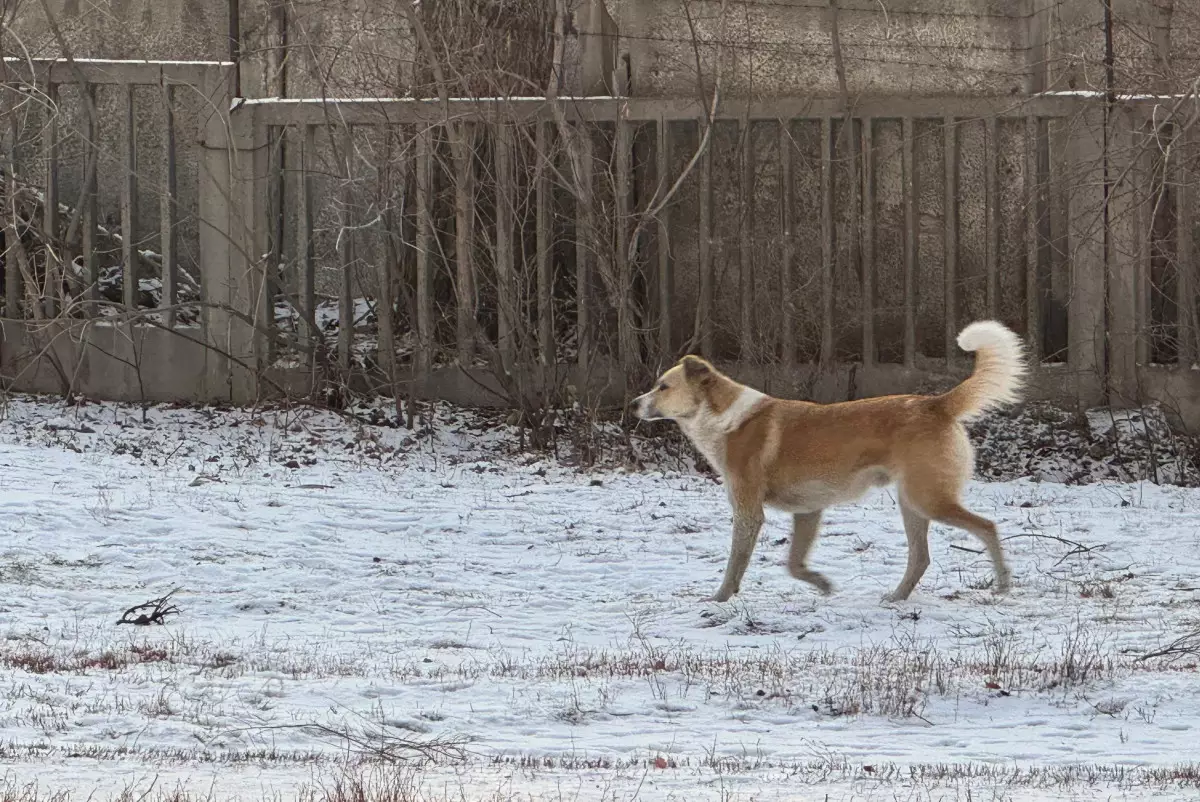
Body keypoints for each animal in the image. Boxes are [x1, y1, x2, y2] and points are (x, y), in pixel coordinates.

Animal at [633, 319, 1027, 600]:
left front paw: (719, 600)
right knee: (921, 558)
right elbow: (794, 564)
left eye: (662, 386)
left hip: (928, 499)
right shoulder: (808, 511)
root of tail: (937, 404)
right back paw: (896, 597)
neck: (725, 418)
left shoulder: (748, 512)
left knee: (987, 528)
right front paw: (822, 585)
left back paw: (1004, 585)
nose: (634, 404)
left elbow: (736, 563)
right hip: (912, 504)